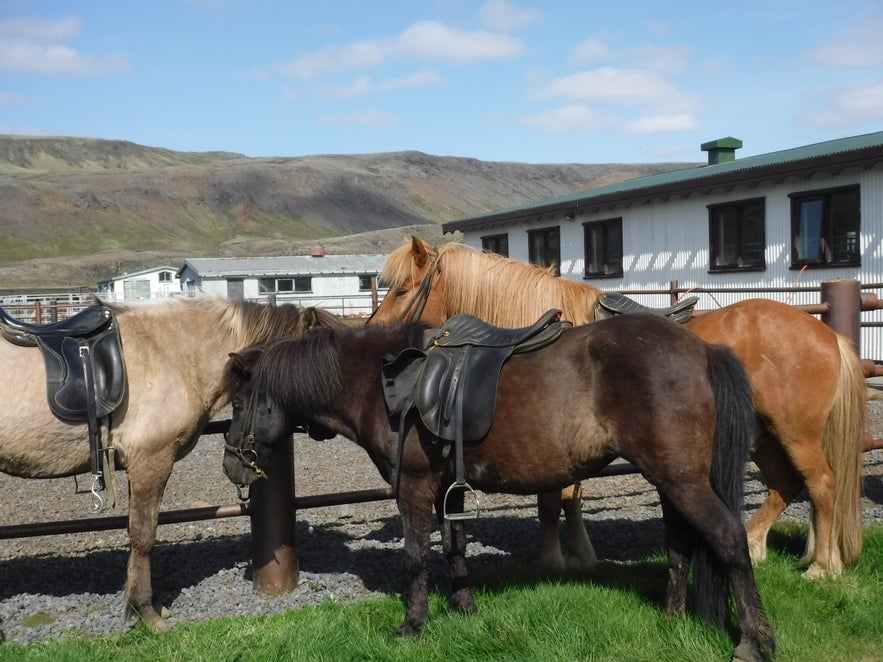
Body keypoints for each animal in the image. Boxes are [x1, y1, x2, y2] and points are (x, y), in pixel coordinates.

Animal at [226, 318, 772, 662]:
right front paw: (464, 609)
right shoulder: (447, 486)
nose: (233, 466)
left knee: (730, 540)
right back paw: (672, 621)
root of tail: (702, 348)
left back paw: (754, 642)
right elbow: (455, 545)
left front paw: (412, 625)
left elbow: (415, 556)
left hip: (682, 480)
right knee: (680, 545)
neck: (380, 382)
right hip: (670, 479)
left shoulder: (414, 486)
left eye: (237, 401)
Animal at [368, 236, 872, 580]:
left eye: (400, 291)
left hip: (795, 433)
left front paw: (553, 561)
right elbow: (569, 498)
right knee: (786, 485)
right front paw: (583, 556)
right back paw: (758, 544)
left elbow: (551, 501)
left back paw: (822, 567)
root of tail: (827, 335)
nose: (373, 333)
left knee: (822, 485)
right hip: (762, 435)